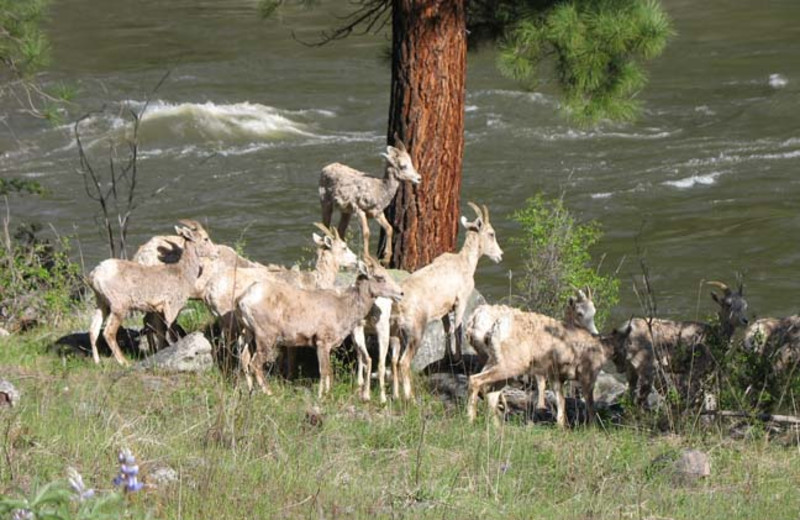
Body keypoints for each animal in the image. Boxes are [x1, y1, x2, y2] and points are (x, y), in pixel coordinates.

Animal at [87, 219, 217, 366]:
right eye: (205, 238)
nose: (216, 253)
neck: (182, 273)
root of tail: (95, 274)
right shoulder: (172, 308)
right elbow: (170, 330)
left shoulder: (158, 310)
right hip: (119, 308)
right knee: (108, 333)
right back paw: (125, 362)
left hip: (101, 304)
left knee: (93, 330)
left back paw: (97, 361)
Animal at [234, 258, 404, 396]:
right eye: (380, 277)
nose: (401, 293)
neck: (343, 308)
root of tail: (242, 299)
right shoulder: (322, 341)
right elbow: (324, 371)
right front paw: (322, 396)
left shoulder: (324, 345)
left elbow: (329, 371)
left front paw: (327, 393)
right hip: (266, 337)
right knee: (255, 363)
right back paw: (270, 393)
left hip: (247, 332)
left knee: (244, 359)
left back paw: (250, 391)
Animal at [388, 201, 500, 400]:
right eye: (491, 233)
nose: (500, 255)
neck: (464, 263)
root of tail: (398, 304)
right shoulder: (461, 302)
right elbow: (458, 329)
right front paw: (457, 360)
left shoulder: (445, 310)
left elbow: (447, 329)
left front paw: (449, 357)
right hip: (415, 334)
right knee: (403, 362)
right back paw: (410, 399)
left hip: (395, 333)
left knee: (393, 360)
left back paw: (395, 396)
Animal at [462, 300, 632, 426]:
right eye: (580, 313)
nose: (623, 368)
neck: (602, 348)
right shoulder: (587, 374)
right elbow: (589, 404)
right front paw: (593, 427)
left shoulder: (556, 374)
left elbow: (560, 400)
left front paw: (562, 426)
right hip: (510, 364)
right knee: (476, 380)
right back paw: (471, 420)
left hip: (499, 363)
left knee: (490, 392)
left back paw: (497, 425)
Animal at [612, 280, 752, 406]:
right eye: (728, 304)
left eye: (745, 305)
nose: (745, 321)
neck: (713, 335)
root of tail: (626, 329)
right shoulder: (695, 371)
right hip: (647, 368)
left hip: (631, 369)